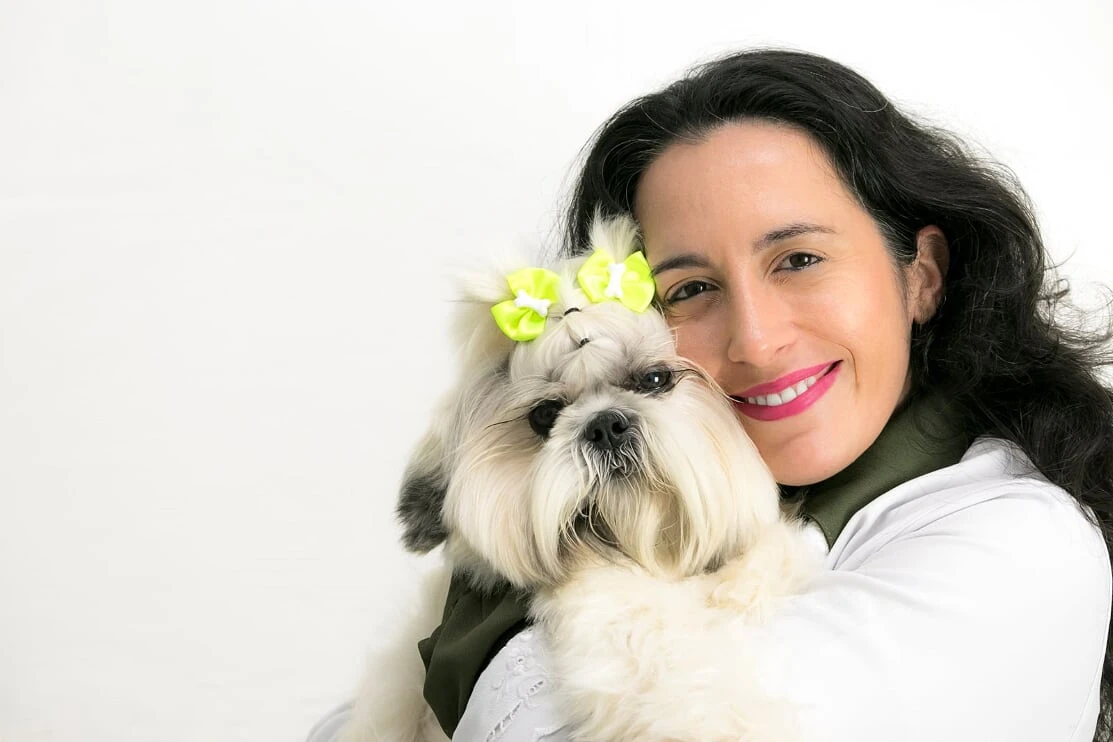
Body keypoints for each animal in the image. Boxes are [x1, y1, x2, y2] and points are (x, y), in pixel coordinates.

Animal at [341, 214, 820, 742]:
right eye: (545, 415)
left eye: (654, 380)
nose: (605, 425)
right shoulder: (614, 615)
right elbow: (689, 686)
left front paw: (746, 582)